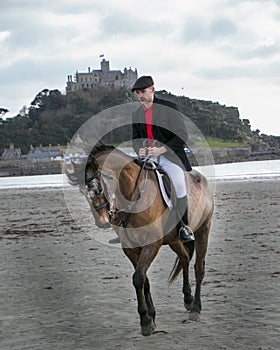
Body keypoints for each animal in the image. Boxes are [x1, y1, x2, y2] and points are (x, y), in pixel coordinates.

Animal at [66, 144, 214, 336]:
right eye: (83, 192)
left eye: (98, 189)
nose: (102, 222)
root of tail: (200, 177)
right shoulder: (130, 247)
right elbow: (144, 280)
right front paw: (151, 316)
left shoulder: (152, 244)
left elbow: (138, 278)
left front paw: (145, 321)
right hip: (173, 239)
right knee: (184, 257)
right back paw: (188, 299)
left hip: (204, 229)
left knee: (199, 267)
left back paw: (195, 308)